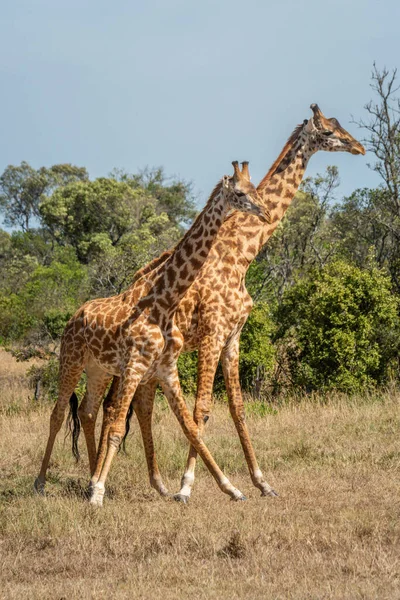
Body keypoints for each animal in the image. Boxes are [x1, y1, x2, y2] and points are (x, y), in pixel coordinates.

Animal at [36, 161, 270, 506]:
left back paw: (90, 478)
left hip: (98, 369)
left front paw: (231, 488)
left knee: (88, 412)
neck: (164, 301)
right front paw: (99, 494)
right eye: (240, 193)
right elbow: (117, 428)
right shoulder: (136, 365)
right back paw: (43, 482)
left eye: (255, 189)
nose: (265, 213)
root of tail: (74, 316)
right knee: (58, 413)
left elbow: (189, 426)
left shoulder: (166, 369)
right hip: (71, 360)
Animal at [90, 103, 366, 502]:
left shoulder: (234, 336)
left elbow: (237, 407)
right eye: (329, 132)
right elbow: (202, 408)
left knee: (135, 405)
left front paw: (262, 482)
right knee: (117, 405)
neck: (243, 252)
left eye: (340, 125)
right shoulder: (213, 332)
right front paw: (188, 486)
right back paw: (101, 481)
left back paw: (139, 482)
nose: (359, 147)